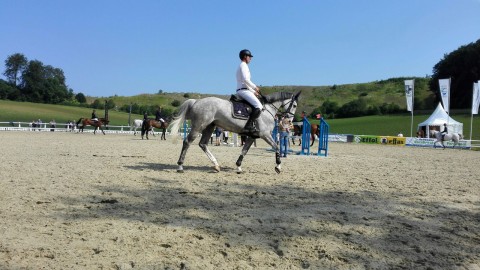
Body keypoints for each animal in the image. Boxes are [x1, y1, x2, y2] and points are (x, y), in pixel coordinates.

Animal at [169, 92, 300, 174]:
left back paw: (216, 165)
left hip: (209, 127)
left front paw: (238, 166)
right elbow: (276, 147)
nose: (289, 121)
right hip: (198, 127)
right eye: (294, 105)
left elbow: (244, 150)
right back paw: (180, 166)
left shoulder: (252, 137)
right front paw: (278, 166)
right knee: (187, 142)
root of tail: (196, 101)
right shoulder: (265, 135)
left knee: (203, 144)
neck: (267, 111)